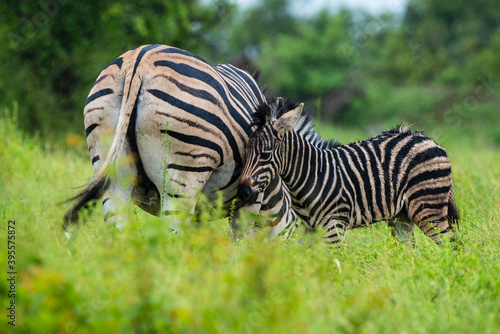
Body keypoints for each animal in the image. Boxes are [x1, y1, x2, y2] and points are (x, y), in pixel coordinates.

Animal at [64, 44, 294, 237]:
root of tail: (138, 62)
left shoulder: (203, 209)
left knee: (117, 231)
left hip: (111, 166)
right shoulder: (250, 200)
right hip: (183, 175)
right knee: (171, 237)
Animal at [238, 98, 460, 247]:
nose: (243, 193)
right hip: (402, 217)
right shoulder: (310, 228)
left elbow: (332, 267)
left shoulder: (335, 226)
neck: (311, 173)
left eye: (265, 154)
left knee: (451, 247)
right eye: (245, 151)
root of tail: (425, 138)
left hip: (428, 208)